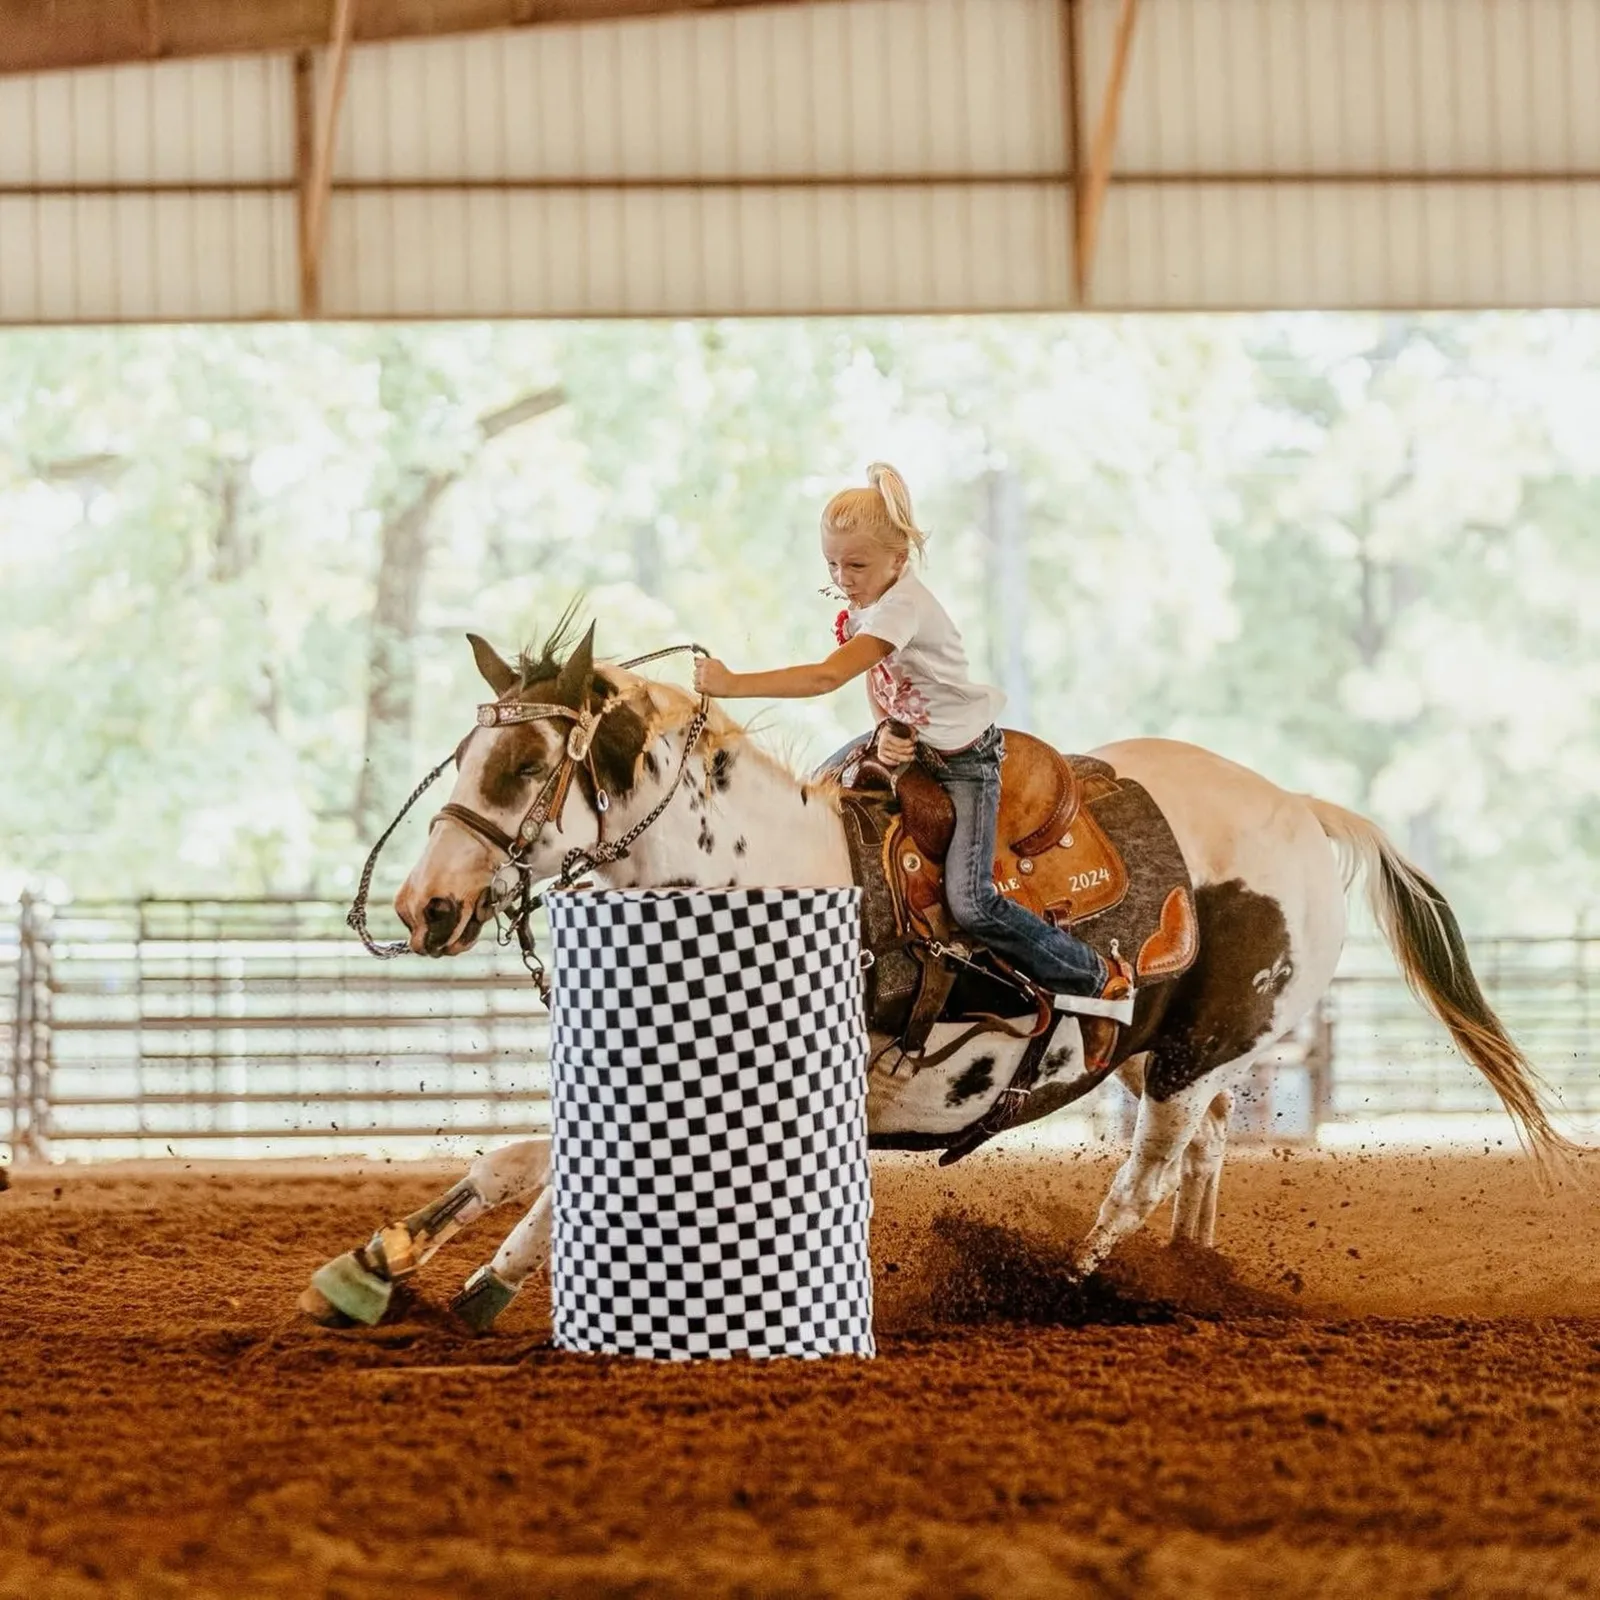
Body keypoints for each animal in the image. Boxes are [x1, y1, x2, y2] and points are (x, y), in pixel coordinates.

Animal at [301, 621, 1573, 1331]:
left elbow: (555, 1176)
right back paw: (1189, 1274)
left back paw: (1078, 1284)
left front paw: (481, 1283)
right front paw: (374, 1264)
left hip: (1196, 1055)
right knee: (1202, 1159)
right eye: (465, 753)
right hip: (1186, 1059)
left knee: (1146, 1172)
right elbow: (515, 1156)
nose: (425, 907)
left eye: (525, 764)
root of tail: (1304, 809)